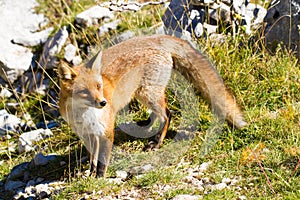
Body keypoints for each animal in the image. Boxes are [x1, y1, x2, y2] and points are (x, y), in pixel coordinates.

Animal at [57, 34, 247, 177]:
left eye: (99, 86)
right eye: (84, 91)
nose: (103, 103)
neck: (84, 116)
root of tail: (153, 38)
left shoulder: (106, 132)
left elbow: (102, 160)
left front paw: (99, 178)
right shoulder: (88, 134)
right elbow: (93, 159)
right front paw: (90, 174)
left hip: (148, 93)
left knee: (167, 114)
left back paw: (157, 143)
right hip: (143, 95)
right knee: (157, 114)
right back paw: (146, 126)